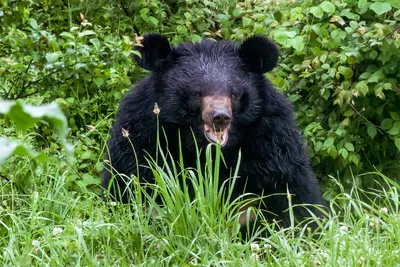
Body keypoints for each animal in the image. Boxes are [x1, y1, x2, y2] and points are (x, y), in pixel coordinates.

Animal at [103, 33, 324, 229]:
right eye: (196, 93)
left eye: (234, 94)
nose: (220, 117)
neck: (204, 148)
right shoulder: (143, 130)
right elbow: (130, 178)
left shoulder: (271, 136)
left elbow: (289, 190)